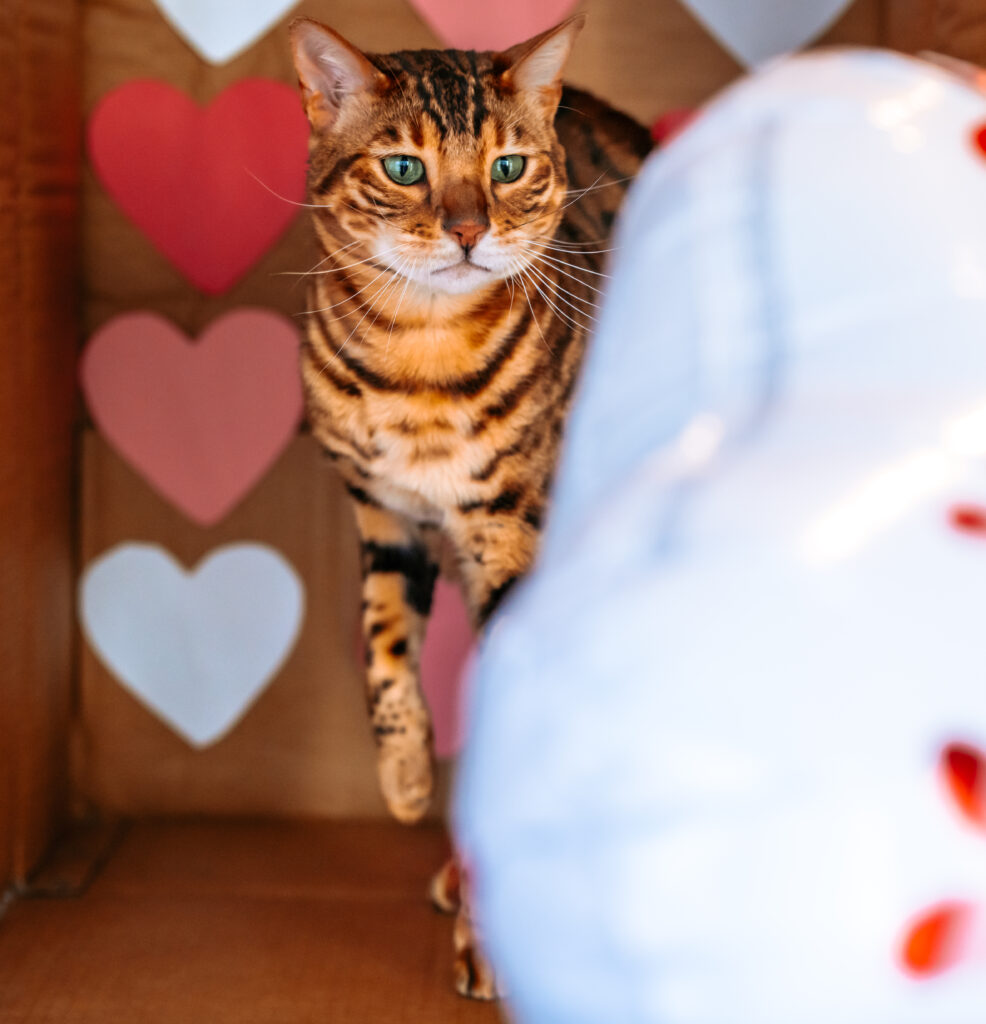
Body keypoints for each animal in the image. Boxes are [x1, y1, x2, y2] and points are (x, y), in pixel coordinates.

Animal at [288, 14, 651, 991]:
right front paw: (406, 778)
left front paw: (493, 938)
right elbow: (382, 648)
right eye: (403, 167)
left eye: (510, 167)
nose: (467, 230)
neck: (419, 355)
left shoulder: (514, 529)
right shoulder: (381, 509)